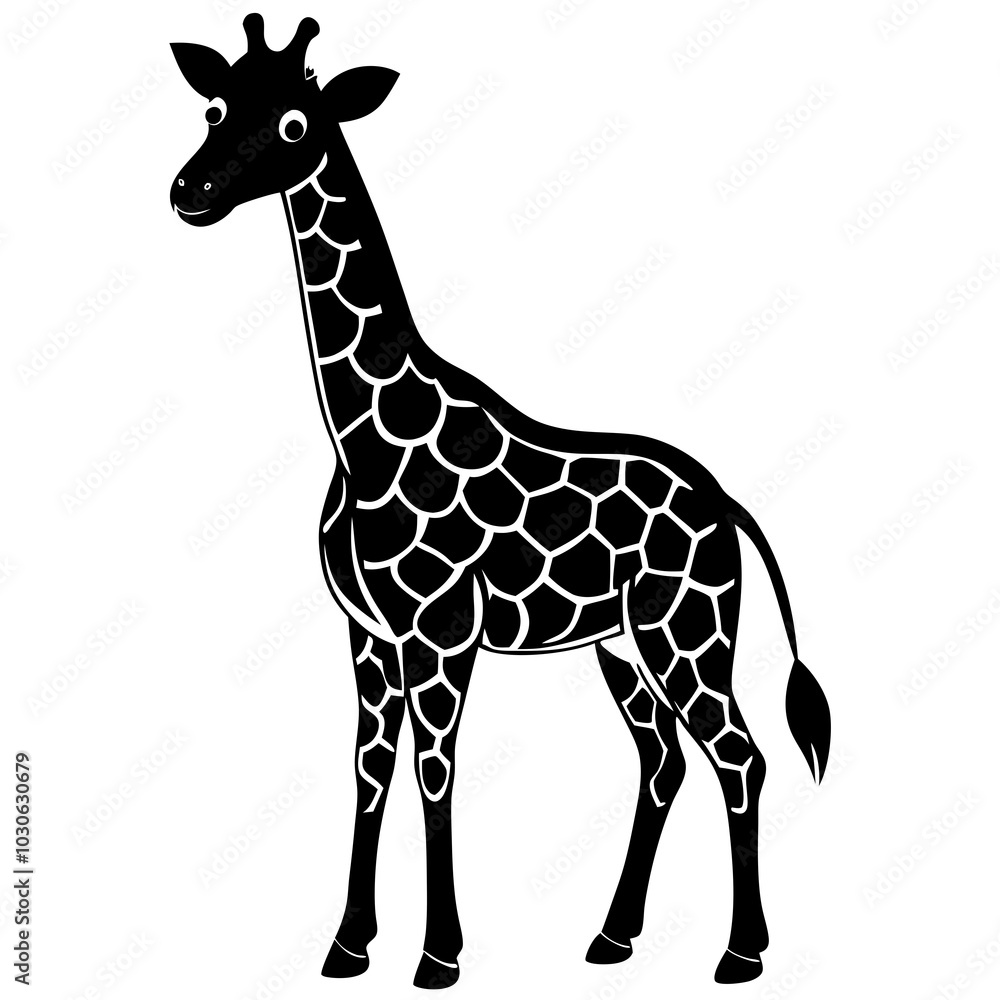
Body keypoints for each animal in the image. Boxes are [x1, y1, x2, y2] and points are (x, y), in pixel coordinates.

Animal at [169, 15, 832, 988]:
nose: (191, 192)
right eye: (215, 107)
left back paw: (741, 953)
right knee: (662, 759)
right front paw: (348, 946)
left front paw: (438, 957)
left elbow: (434, 772)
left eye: (294, 124)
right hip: (620, 644)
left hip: (687, 632)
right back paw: (612, 938)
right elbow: (371, 767)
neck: (363, 435)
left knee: (738, 756)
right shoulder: (369, 633)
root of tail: (728, 506)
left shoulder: (440, 632)